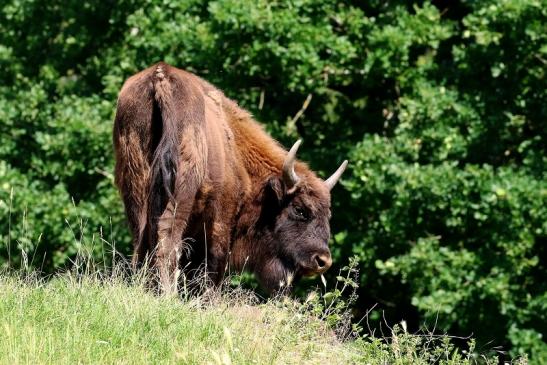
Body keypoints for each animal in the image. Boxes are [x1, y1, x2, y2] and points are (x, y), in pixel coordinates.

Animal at [113, 61, 348, 292]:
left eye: (328, 214)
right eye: (299, 209)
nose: (322, 261)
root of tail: (161, 76)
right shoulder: (221, 220)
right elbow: (214, 265)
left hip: (137, 184)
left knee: (141, 239)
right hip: (181, 190)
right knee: (168, 238)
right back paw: (168, 292)